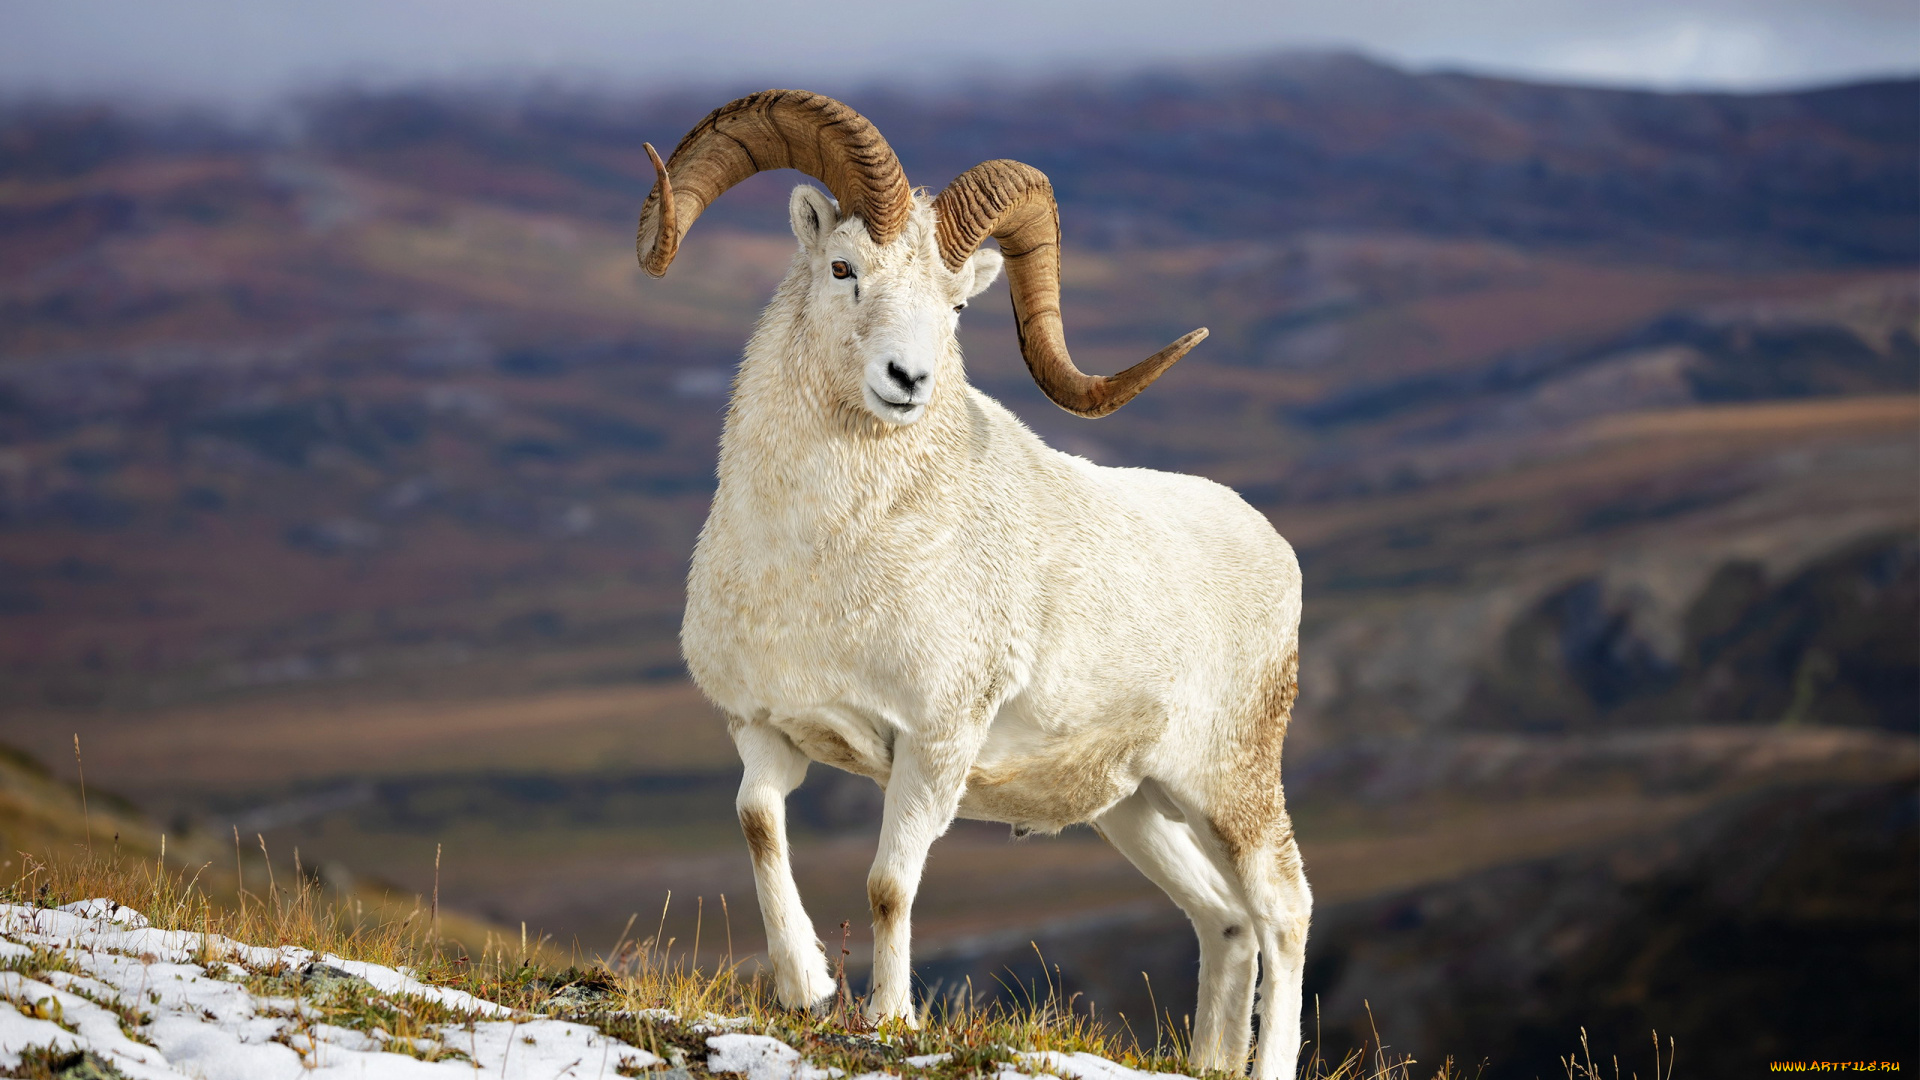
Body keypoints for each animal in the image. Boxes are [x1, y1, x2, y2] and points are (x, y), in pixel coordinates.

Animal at [636, 90, 1310, 1080]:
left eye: (956, 304)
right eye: (843, 267)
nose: (906, 380)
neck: (820, 561)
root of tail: (1275, 550)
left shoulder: (933, 747)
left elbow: (888, 884)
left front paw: (891, 1019)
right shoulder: (766, 729)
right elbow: (758, 823)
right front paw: (806, 986)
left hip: (1233, 789)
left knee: (1283, 911)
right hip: (1140, 809)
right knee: (1223, 923)